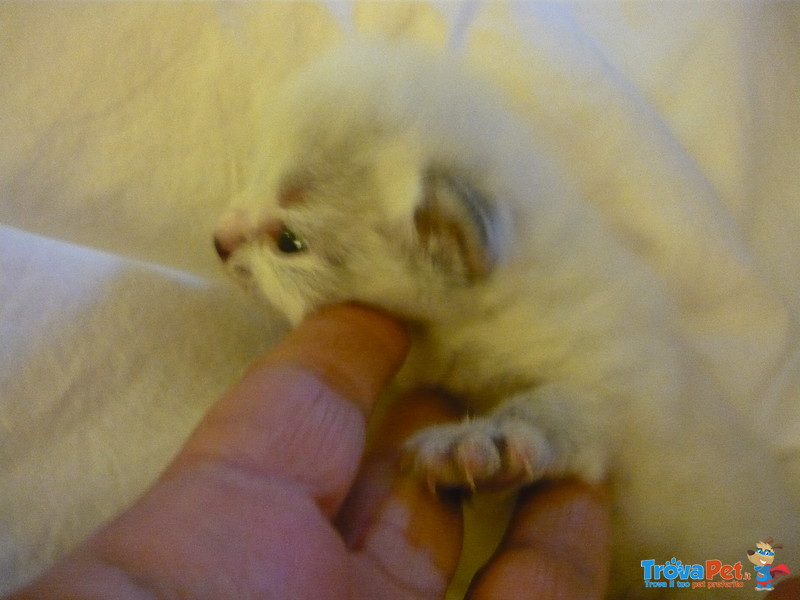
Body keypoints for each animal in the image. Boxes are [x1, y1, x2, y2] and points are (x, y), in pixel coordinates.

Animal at [216, 41, 796, 596]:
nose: (218, 241)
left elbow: (554, 409)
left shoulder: (625, 383)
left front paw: (480, 446)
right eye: (256, 176)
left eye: (288, 243)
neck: (479, 318)